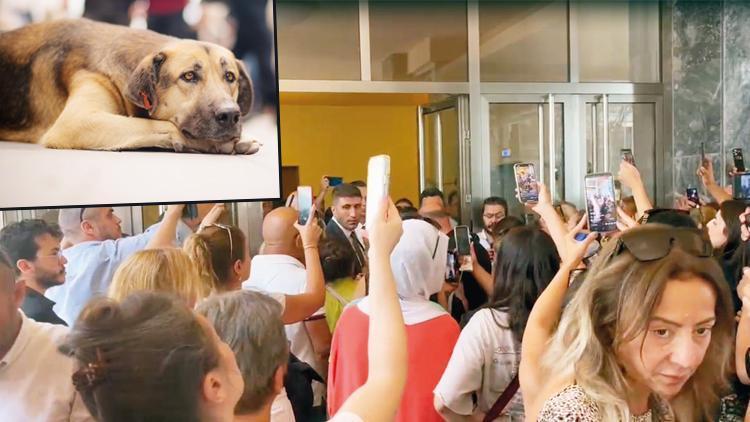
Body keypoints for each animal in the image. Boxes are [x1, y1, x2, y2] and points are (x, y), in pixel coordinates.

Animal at [0, 18, 264, 154]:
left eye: (229, 77)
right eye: (189, 76)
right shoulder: (75, 122)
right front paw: (220, 144)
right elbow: (163, 127)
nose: (230, 115)